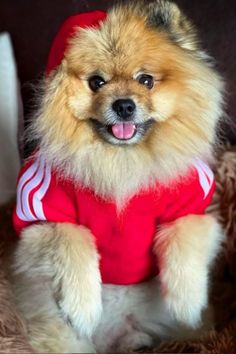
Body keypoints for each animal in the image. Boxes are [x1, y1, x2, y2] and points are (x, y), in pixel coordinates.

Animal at [11, 1, 225, 352]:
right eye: (97, 82)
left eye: (146, 80)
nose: (124, 105)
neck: (121, 162)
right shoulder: (45, 214)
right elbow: (72, 246)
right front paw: (82, 308)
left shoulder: (188, 206)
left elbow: (185, 245)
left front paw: (187, 304)